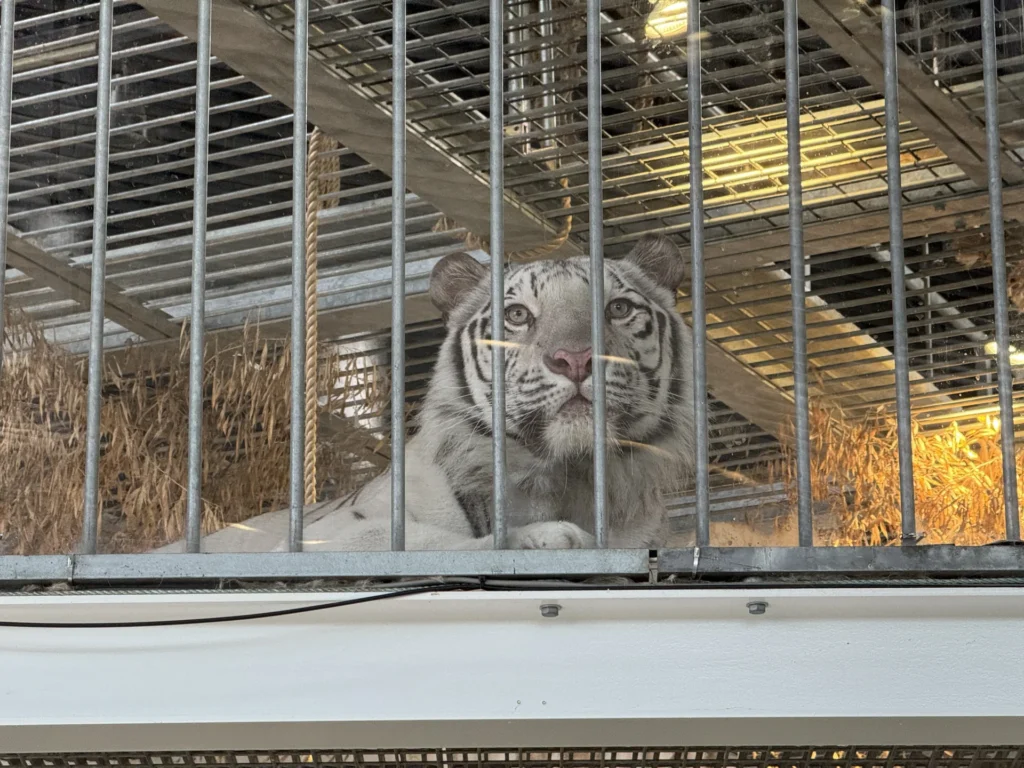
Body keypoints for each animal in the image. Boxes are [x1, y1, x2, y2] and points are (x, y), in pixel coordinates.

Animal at [156, 232, 695, 553]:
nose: (576, 358)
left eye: (618, 308)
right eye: (517, 315)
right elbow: (424, 542)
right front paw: (546, 537)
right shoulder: (334, 533)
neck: (564, 480)